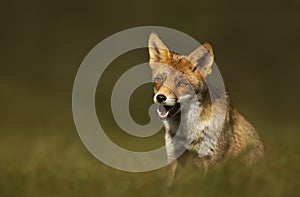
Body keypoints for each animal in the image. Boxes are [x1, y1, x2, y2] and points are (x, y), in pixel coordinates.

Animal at [147, 33, 262, 181]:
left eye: (182, 84)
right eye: (160, 80)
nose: (160, 97)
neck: (188, 133)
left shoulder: (210, 161)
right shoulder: (174, 156)